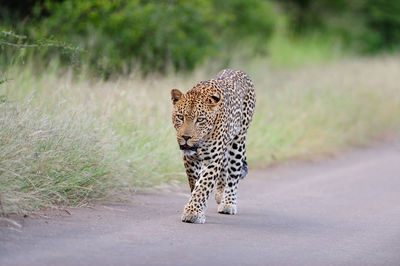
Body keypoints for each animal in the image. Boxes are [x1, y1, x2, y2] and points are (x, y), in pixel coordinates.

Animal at [170, 68, 255, 222]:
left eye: (200, 120)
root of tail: (238, 70)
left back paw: (228, 203)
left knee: (233, 175)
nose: (186, 137)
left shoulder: (212, 160)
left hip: (238, 142)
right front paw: (199, 208)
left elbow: (203, 185)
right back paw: (220, 194)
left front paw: (193, 212)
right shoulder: (189, 159)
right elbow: (195, 183)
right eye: (180, 117)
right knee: (224, 168)